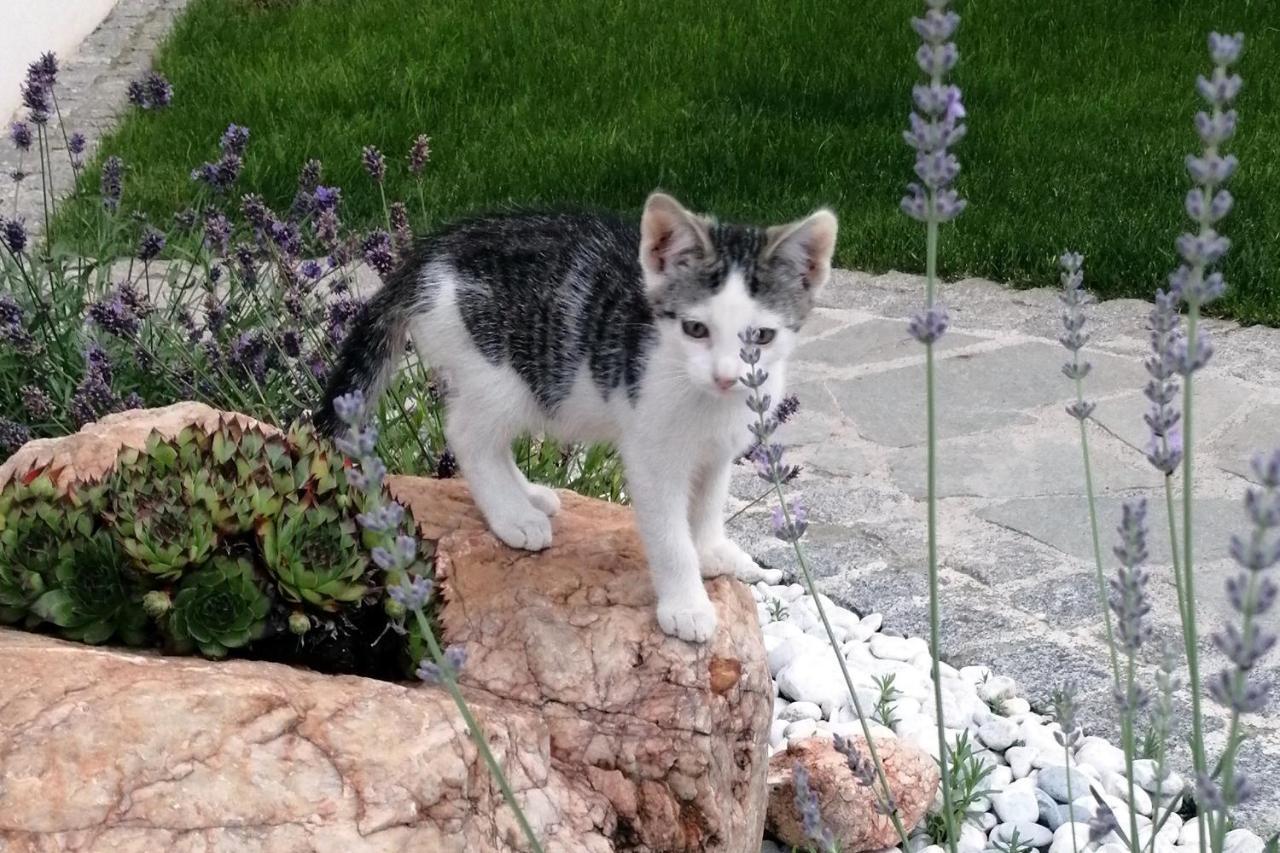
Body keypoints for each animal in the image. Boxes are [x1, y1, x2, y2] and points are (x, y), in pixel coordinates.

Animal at [317, 192, 839, 640]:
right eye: (696, 329)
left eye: (762, 337)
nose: (728, 377)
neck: (709, 402)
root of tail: (432, 252)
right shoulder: (650, 452)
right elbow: (669, 535)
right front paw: (687, 605)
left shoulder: (719, 448)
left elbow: (710, 501)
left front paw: (711, 549)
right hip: (499, 371)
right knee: (468, 435)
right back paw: (512, 516)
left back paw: (529, 496)